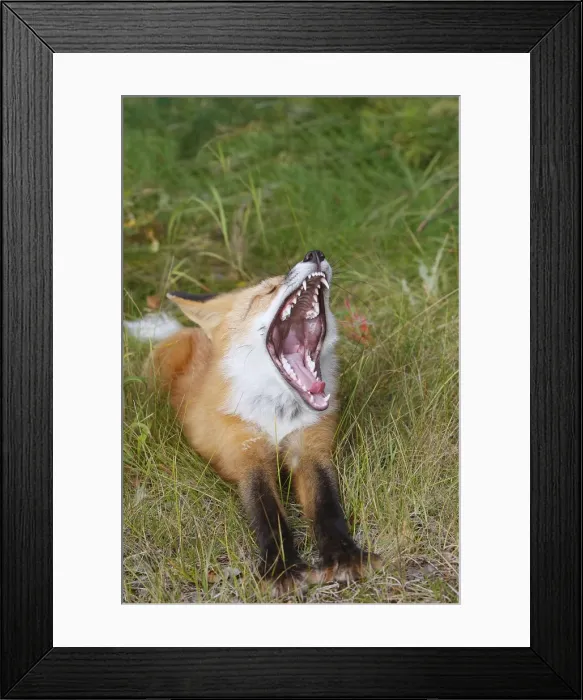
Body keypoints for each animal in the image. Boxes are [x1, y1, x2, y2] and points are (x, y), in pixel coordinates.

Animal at [143, 250, 381, 591]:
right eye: (268, 291)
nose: (314, 254)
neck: (278, 416)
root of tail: (191, 331)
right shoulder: (247, 453)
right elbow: (268, 514)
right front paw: (282, 568)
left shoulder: (311, 448)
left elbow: (328, 507)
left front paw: (345, 555)